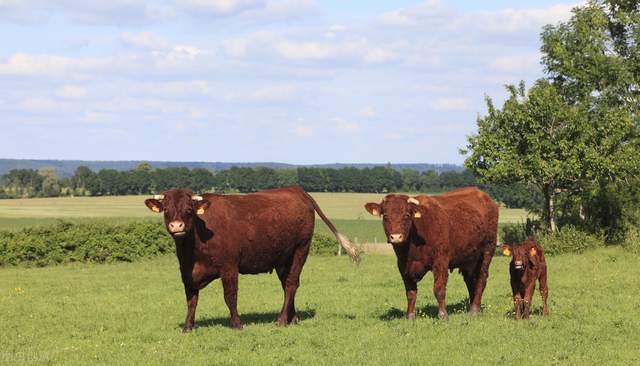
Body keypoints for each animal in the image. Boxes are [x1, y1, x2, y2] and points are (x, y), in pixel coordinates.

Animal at [143, 186, 360, 332]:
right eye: (166, 210)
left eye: (189, 210)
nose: (176, 226)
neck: (194, 249)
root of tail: (296, 190)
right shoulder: (186, 271)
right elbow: (191, 299)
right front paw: (188, 326)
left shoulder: (229, 267)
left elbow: (230, 296)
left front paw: (237, 324)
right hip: (283, 258)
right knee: (288, 284)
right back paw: (293, 318)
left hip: (300, 249)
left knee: (291, 284)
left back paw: (282, 320)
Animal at [364, 187, 500, 318]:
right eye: (385, 216)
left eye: (407, 215)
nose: (396, 237)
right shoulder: (403, 266)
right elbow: (410, 292)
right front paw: (410, 316)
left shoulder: (441, 260)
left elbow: (439, 289)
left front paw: (443, 315)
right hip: (469, 258)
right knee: (471, 281)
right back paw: (473, 307)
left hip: (487, 251)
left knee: (481, 280)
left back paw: (474, 310)